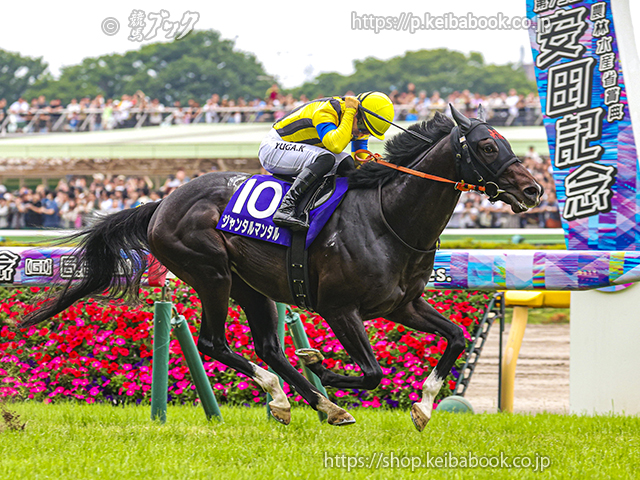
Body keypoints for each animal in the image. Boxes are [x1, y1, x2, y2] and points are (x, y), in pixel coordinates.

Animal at [19, 106, 542, 431]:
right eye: (487, 147)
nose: (534, 190)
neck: (389, 217)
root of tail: (162, 202)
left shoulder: (402, 303)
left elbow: (455, 337)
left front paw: (425, 407)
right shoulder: (339, 308)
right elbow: (372, 372)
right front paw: (324, 365)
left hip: (254, 287)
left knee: (269, 348)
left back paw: (317, 405)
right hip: (211, 273)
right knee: (215, 343)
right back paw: (296, 395)